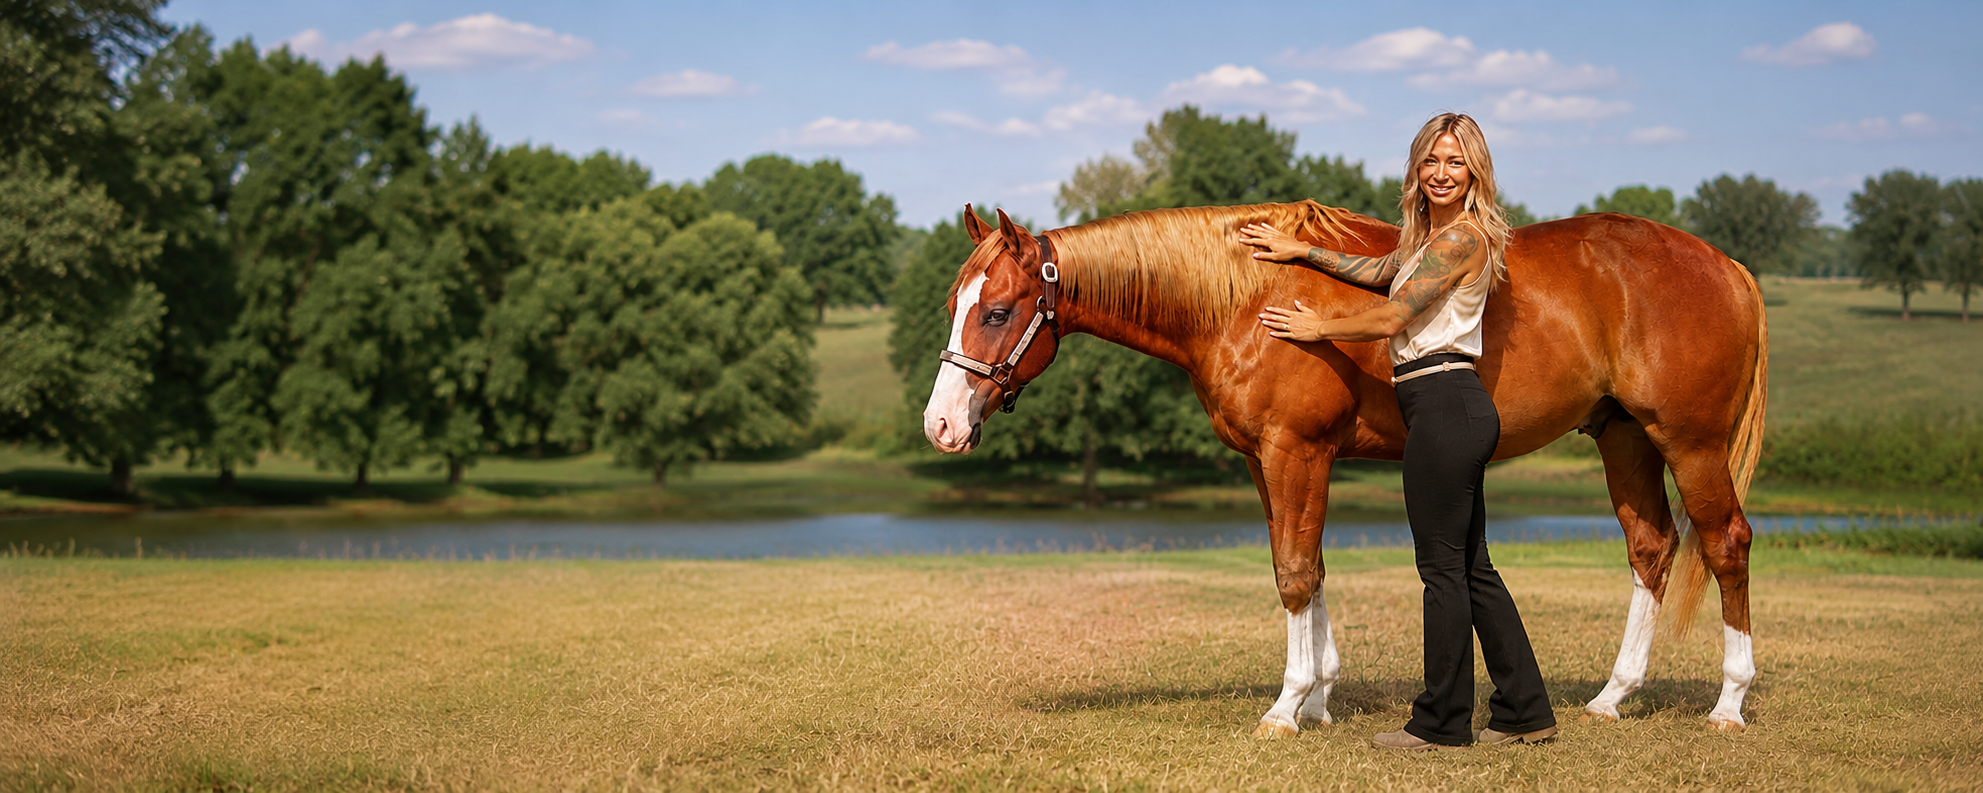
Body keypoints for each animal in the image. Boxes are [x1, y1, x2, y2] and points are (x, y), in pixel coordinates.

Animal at [921, 201, 1767, 736]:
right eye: (954, 302)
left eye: (997, 310)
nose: (940, 425)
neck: (1244, 294)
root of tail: (1727, 265)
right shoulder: (1271, 462)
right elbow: (1304, 565)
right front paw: (1320, 698)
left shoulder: (1294, 451)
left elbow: (1295, 573)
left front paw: (1286, 706)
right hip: (1623, 437)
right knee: (1651, 548)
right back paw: (1611, 696)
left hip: (1688, 443)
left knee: (1725, 543)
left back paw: (1728, 702)